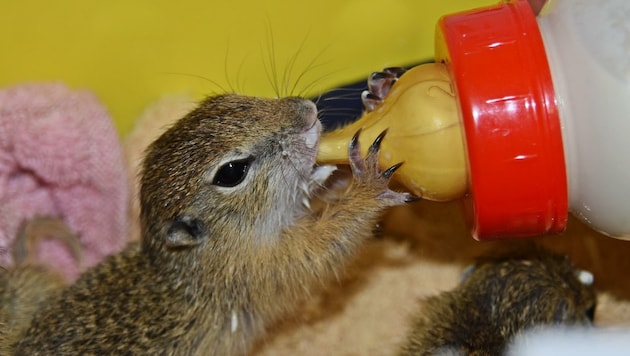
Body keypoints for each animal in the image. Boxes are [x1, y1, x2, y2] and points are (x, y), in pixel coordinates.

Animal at [13, 93, 414, 354]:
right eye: (232, 172)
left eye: (227, 99)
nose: (307, 111)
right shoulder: (263, 268)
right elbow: (326, 245)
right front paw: (367, 186)